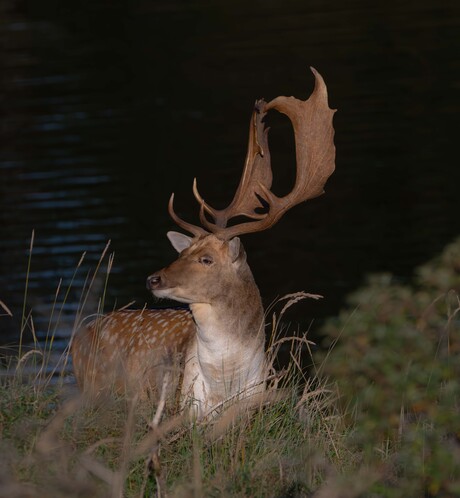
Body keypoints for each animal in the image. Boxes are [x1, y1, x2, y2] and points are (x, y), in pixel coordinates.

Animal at [73, 68, 338, 418]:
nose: (153, 279)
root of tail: (79, 337)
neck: (225, 386)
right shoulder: (185, 411)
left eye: (206, 259)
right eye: (183, 251)